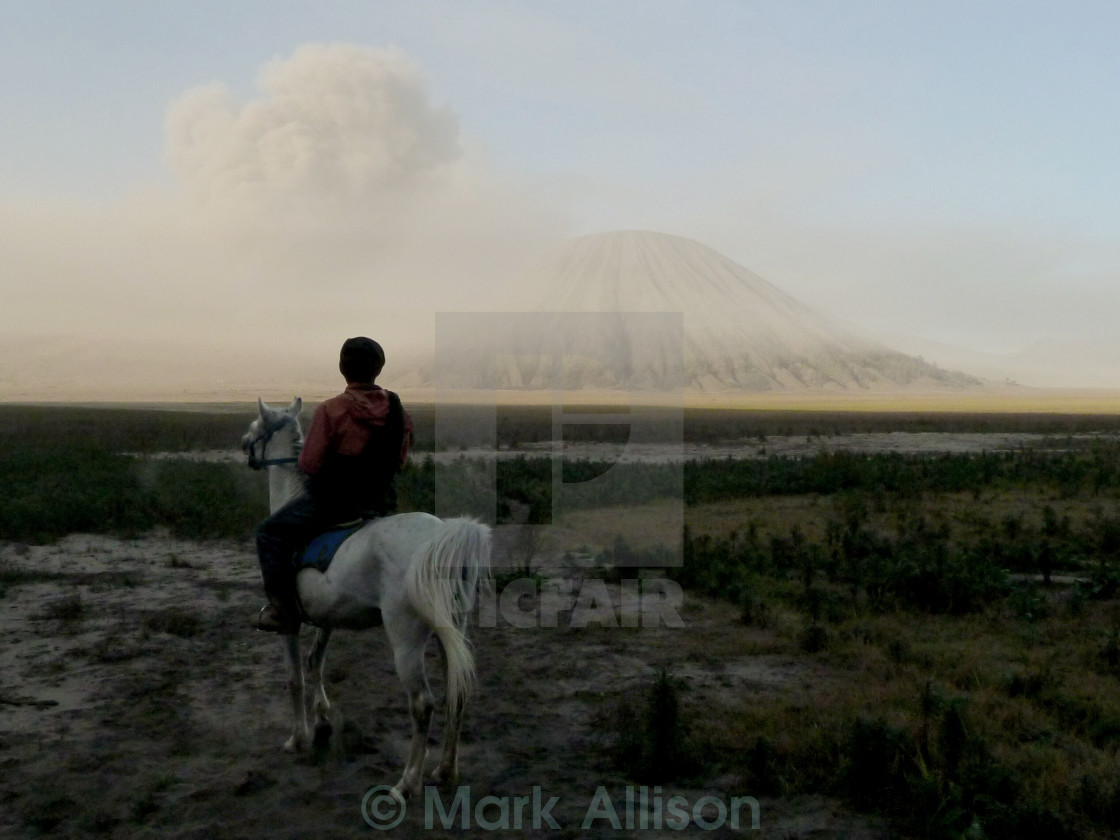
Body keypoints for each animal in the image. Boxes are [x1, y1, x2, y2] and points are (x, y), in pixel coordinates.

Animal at [240, 398, 490, 797]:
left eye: (256, 425)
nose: (244, 443)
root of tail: (440, 537)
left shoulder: (289, 622)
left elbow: (295, 677)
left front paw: (298, 738)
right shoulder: (326, 617)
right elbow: (315, 662)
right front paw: (323, 716)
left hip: (406, 638)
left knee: (422, 704)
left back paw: (407, 781)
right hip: (451, 628)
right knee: (458, 692)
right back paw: (445, 770)